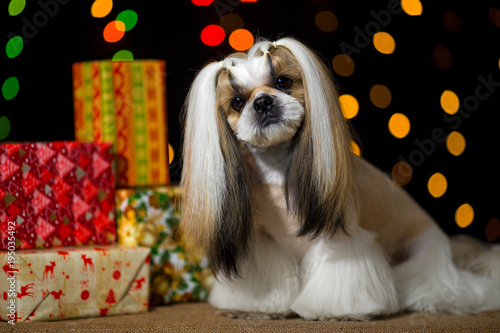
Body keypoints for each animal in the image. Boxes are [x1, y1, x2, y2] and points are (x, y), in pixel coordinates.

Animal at [180, 37, 500, 320]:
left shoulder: (339, 233)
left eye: (283, 82)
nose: (262, 102)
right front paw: (258, 308)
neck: (277, 166)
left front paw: (335, 311)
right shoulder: (265, 241)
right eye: (236, 102)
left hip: (425, 254)